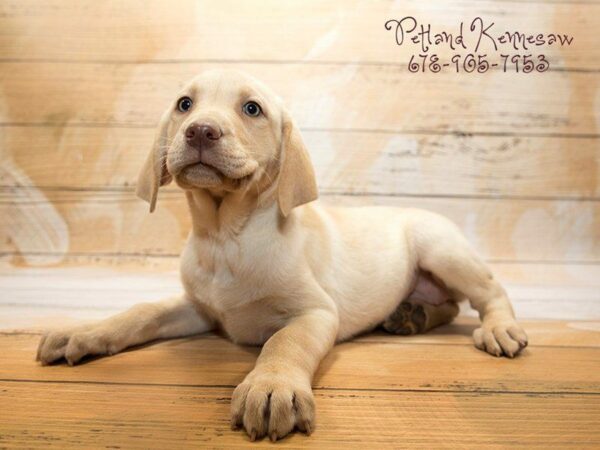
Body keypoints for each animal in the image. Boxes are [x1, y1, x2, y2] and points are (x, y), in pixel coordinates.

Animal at [37, 70, 528, 442]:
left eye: (252, 109)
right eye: (184, 105)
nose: (200, 131)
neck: (226, 238)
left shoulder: (315, 312)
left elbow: (284, 342)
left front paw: (271, 386)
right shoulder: (200, 308)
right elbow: (141, 311)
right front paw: (84, 331)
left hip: (440, 249)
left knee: (488, 292)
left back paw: (498, 329)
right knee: (449, 305)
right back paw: (412, 316)